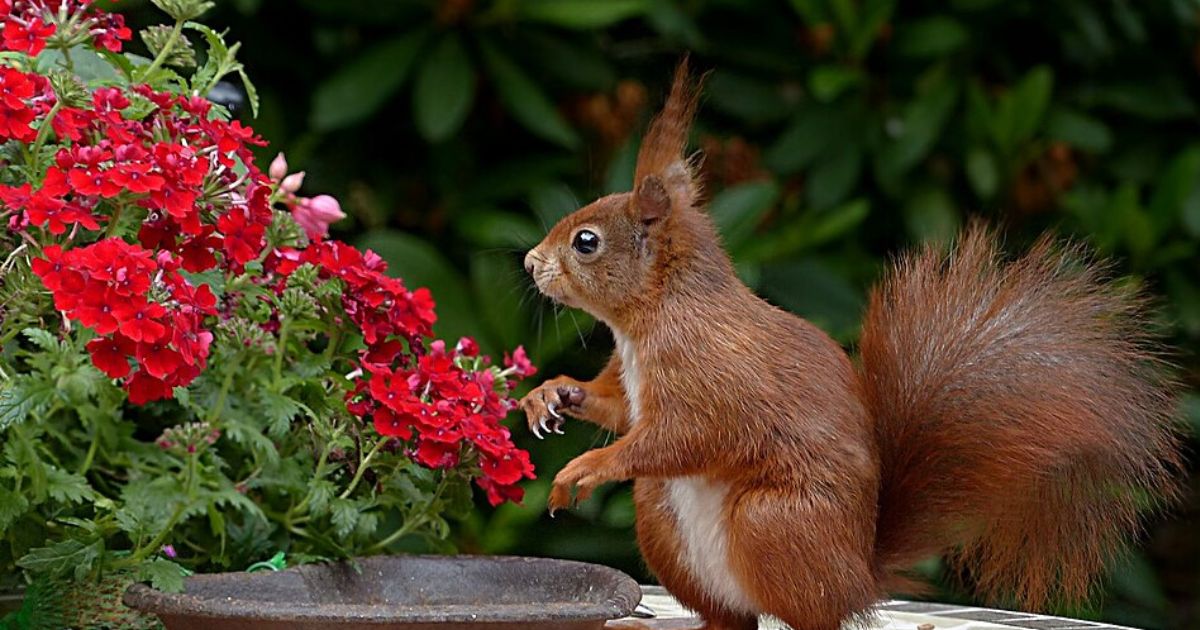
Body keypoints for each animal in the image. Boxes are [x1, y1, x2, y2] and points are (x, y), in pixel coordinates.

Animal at [519, 61, 1183, 630]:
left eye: (585, 241)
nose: (529, 262)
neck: (652, 318)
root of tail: (860, 579)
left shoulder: (710, 371)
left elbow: (685, 435)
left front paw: (587, 466)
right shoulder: (633, 380)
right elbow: (620, 409)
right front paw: (551, 395)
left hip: (773, 523)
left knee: (810, 614)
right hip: (663, 517)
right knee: (733, 614)